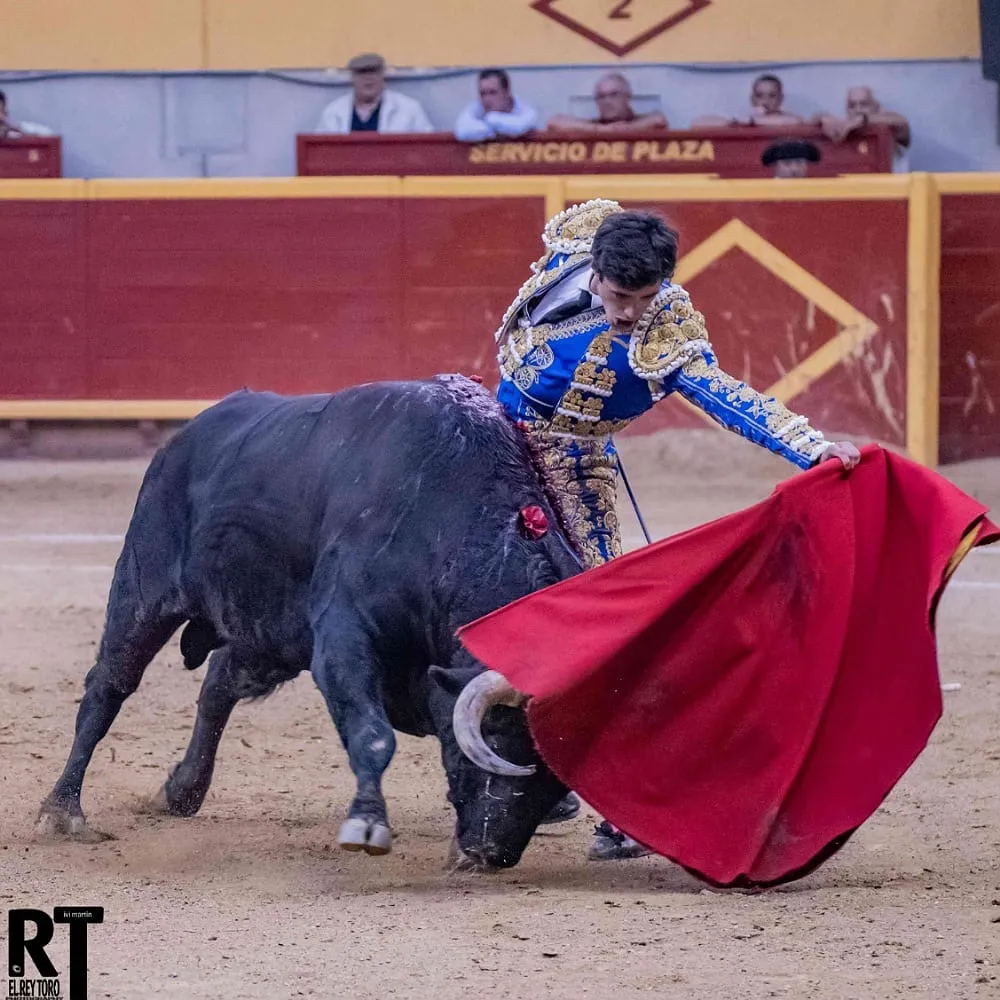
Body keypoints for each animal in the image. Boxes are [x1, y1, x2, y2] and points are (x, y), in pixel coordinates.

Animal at [39, 376, 584, 868]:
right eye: (498, 735)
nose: (491, 854)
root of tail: (185, 436)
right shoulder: (343, 638)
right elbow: (372, 733)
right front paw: (366, 825)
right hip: (143, 593)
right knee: (109, 686)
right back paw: (63, 812)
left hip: (268, 634)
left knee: (218, 686)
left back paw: (182, 790)